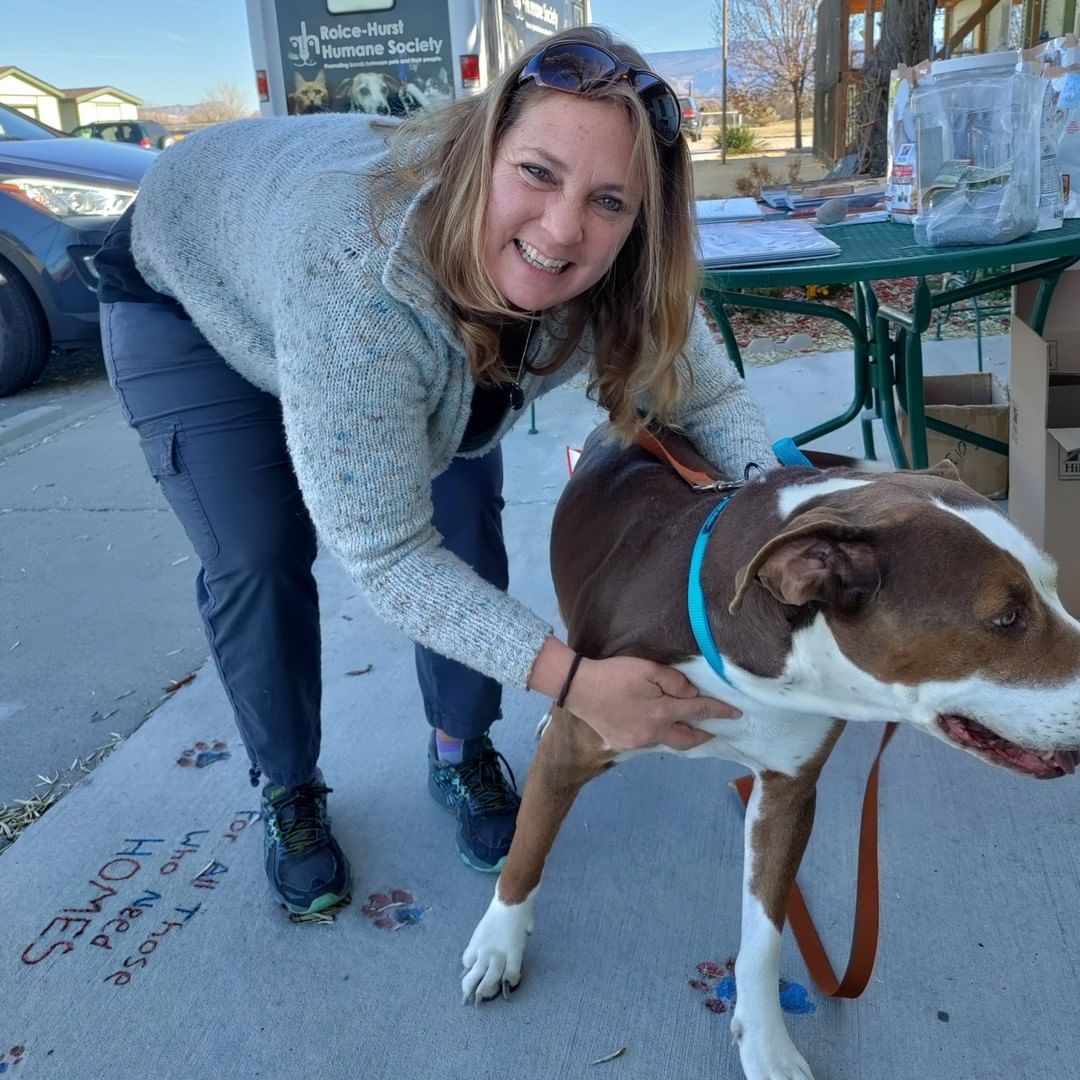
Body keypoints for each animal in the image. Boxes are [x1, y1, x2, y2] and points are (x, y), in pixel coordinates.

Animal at [460, 425, 1080, 1075]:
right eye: (1007, 618)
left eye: (1053, 587)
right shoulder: (579, 738)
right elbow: (528, 848)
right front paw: (498, 944)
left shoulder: (788, 791)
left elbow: (764, 933)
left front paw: (765, 1043)